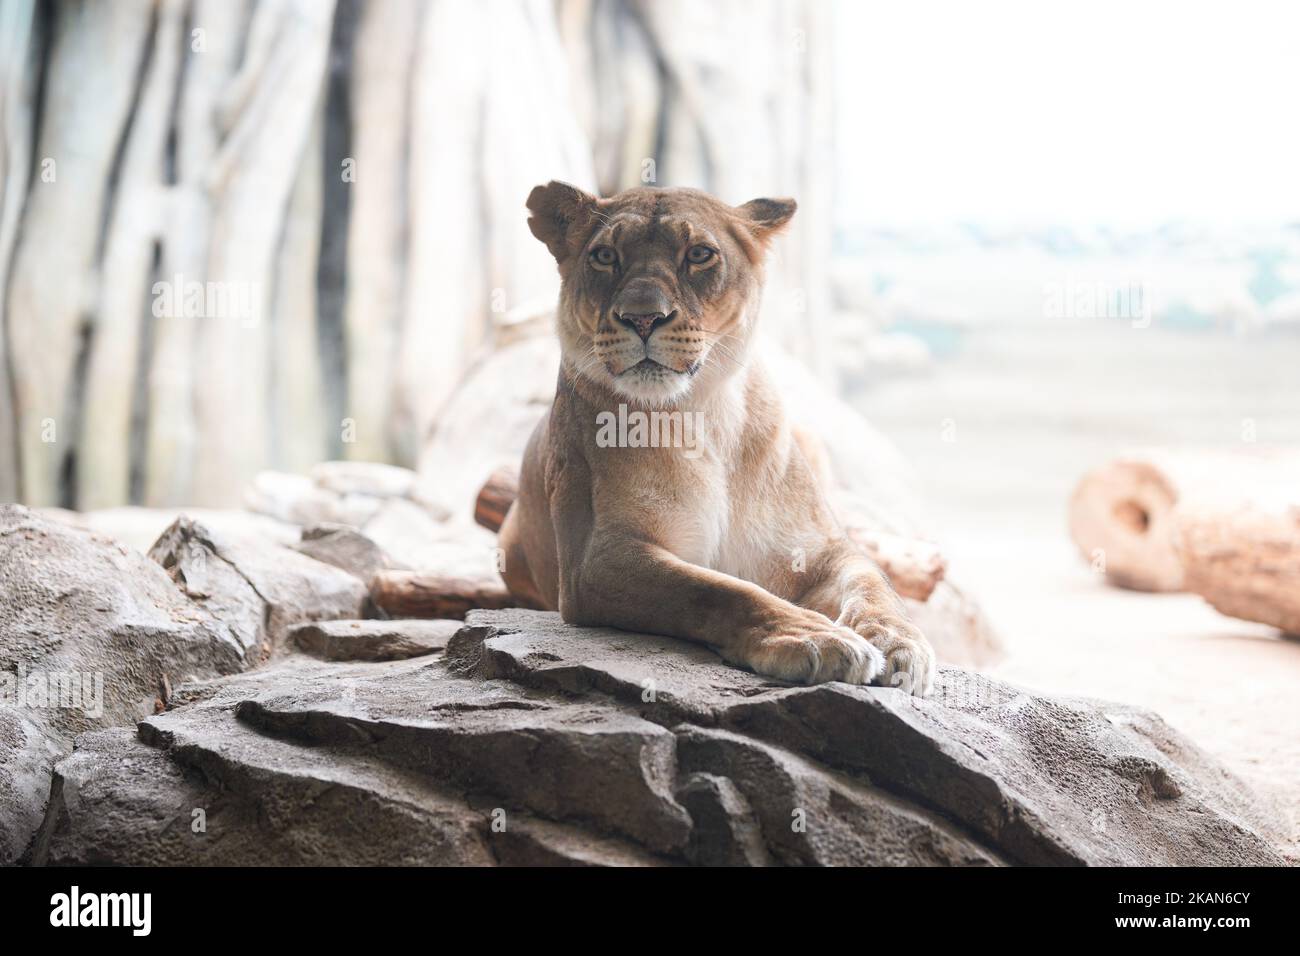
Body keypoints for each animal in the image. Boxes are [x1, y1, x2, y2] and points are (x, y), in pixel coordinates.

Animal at [497, 181, 936, 695]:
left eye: (699, 254)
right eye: (605, 256)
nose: (642, 319)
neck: (702, 415)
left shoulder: (819, 548)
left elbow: (873, 583)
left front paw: (899, 642)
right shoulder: (597, 558)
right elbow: (717, 589)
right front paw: (813, 637)